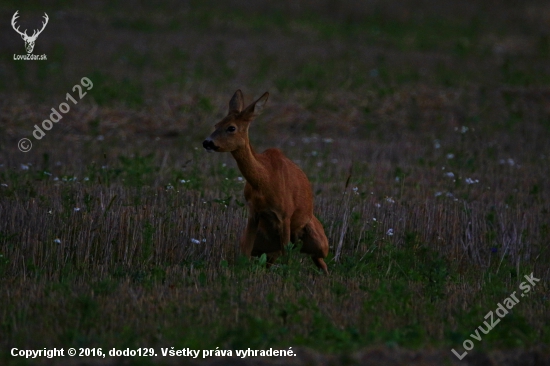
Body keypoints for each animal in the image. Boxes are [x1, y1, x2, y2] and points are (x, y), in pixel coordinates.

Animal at [205, 90, 330, 274]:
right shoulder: (253, 213)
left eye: (231, 128)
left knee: (319, 260)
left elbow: (287, 258)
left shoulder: (285, 214)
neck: (265, 181)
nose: (207, 142)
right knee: (271, 258)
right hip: (267, 241)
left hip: (318, 241)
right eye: (216, 124)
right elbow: (244, 253)